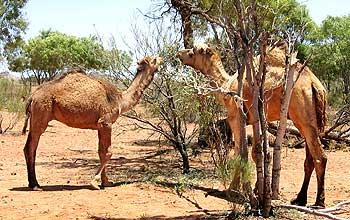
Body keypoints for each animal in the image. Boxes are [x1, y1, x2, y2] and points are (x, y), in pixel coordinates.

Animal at [23, 55, 163, 190]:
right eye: (155, 59)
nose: (162, 59)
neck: (120, 101)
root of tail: (32, 96)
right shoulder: (106, 123)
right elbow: (108, 153)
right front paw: (94, 183)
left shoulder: (100, 127)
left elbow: (101, 152)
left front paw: (106, 182)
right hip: (41, 114)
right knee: (31, 147)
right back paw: (35, 185)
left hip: (36, 116)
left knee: (29, 147)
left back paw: (32, 183)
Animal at [178, 43, 328, 207]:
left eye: (193, 51)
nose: (179, 53)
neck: (226, 86)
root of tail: (315, 85)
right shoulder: (258, 120)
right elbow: (257, 153)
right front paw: (257, 191)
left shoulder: (236, 117)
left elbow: (240, 152)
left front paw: (233, 190)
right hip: (308, 121)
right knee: (309, 159)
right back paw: (299, 199)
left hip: (302, 115)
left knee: (320, 157)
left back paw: (319, 202)